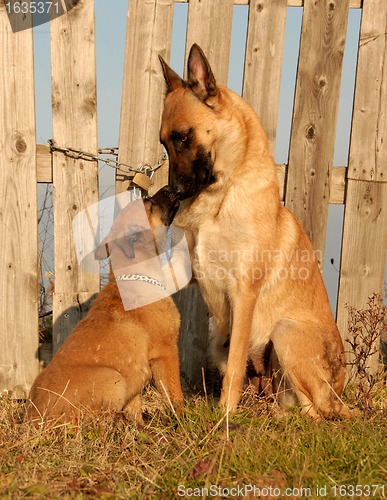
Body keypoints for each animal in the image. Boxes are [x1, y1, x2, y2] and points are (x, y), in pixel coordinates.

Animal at [26, 188, 184, 426]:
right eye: (150, 204)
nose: (170, 188)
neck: (135, 276)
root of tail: (35, 419)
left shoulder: (137, 372)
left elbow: (135, 407)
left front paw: (139, 428)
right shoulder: (166, 353)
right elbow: (175, 395)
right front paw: (185, 419)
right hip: (113, 378)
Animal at [159, 43, 354, 420]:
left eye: (184, 137)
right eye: (164, 144)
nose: (172, 193)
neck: (223, 194)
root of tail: (340, 390)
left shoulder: (243, 294)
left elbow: (236, 363)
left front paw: (225, 414)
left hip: (285, 332)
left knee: (315, 411)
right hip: (221, 341)